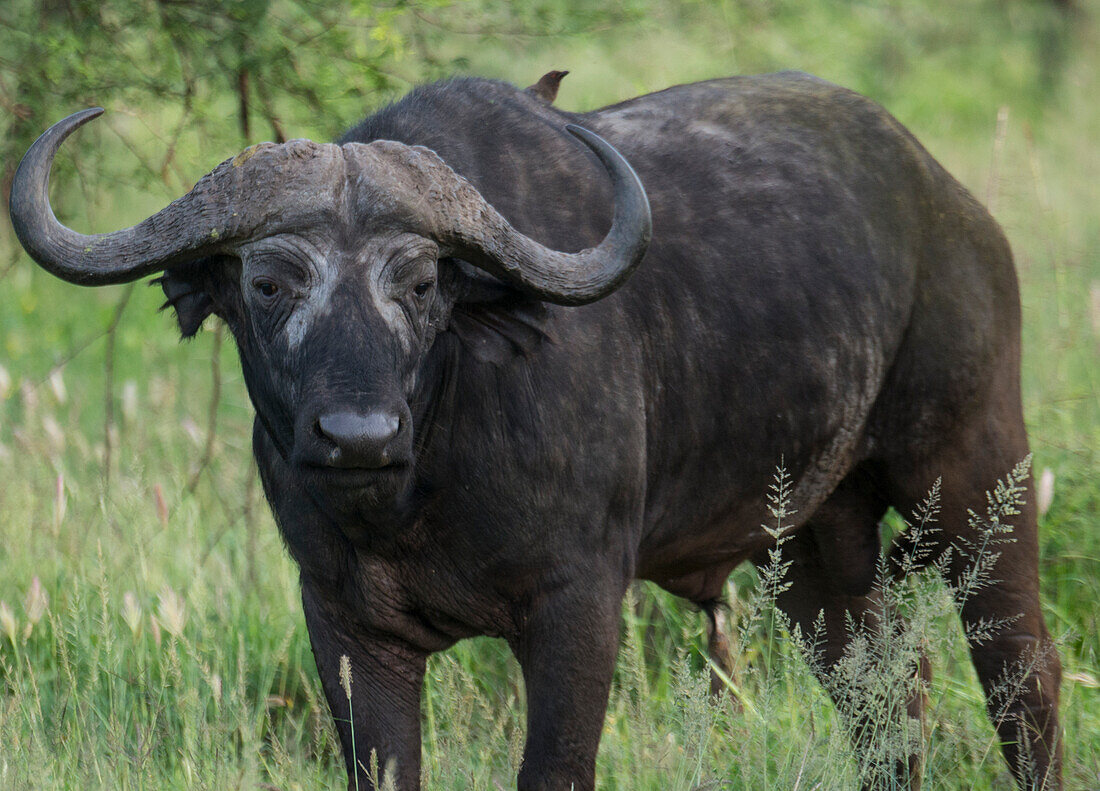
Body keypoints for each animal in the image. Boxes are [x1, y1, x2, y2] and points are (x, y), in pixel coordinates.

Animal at [6, 70, 1056, 787]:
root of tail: (952, 207)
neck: (419, 487)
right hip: (810, 543)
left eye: (422, 283)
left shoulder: (579, 608)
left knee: (1021, 671)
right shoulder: (342, 620)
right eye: (268, 283)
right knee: (890, 694)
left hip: (977, 483)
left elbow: (552, 769)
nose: (356, 434)